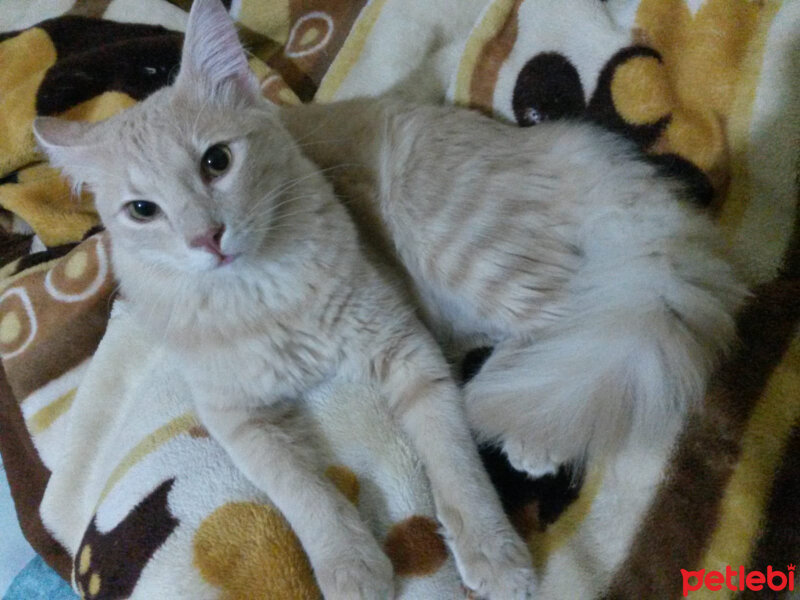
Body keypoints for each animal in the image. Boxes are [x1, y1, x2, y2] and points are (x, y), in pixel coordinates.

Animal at [34, 1, 540, 600]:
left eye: (216, 161)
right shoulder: (235, 417)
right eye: (141, 210)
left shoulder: (408, 350)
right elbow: (301, 489)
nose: (206, 238)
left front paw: (491, 549)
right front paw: (349, 562)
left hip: (459, 251)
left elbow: (454, 460)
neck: (262, 294)